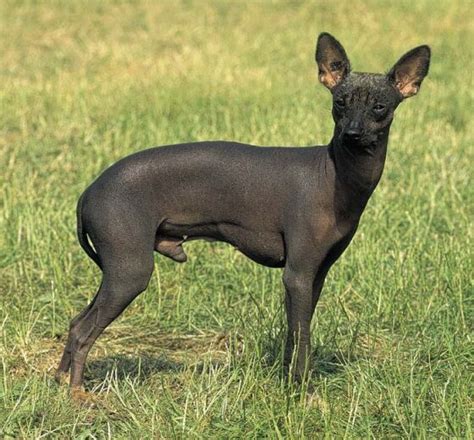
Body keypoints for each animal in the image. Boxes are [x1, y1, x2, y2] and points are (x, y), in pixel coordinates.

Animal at [55, 32, 430, 394]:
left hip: (117, 272)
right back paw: (77, 393)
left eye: (379, 106)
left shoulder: (315, 276)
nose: (352, 133)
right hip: (130, 272)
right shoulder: (297, 274)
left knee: (75, 322)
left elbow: (296, 333)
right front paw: (301, 392)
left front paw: (288, 381)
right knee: (84, 331)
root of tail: (89, 191)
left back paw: (60, 380)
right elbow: (303, 338)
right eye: (340, 102)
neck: (335, 175)